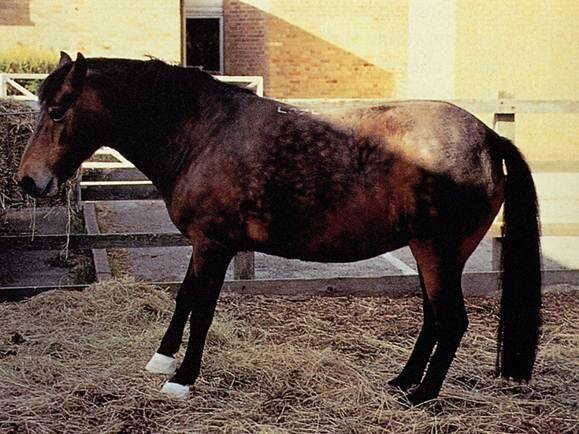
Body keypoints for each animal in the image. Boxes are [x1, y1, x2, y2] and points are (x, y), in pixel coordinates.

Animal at [19, 52, 544, 406]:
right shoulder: (203, 245)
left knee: (451, 321)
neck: (202, 132)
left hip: (438, 253)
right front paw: (162, 360)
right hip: (425, 253)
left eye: (58, 110)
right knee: (433, 319)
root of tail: (489, 138)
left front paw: (182, 379)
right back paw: (402, 382)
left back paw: (421, 395)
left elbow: (203, 311)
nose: (28, 180)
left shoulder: (215, 245)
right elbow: (185, 297)